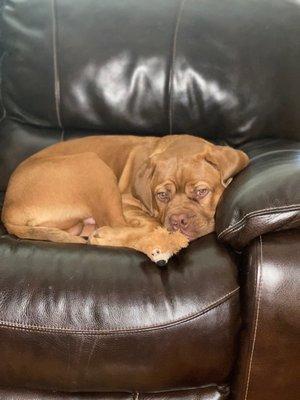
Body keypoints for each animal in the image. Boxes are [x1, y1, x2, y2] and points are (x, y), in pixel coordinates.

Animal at [1, 136, 248, 264]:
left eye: (201, 192)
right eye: (162, 195)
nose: (178, 221)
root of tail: (7, 210)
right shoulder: (128, 201)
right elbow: (151, 222)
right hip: (93, 166)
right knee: (114, 222)